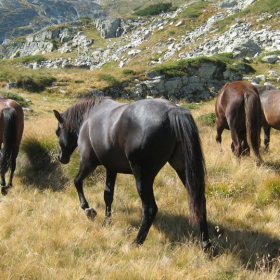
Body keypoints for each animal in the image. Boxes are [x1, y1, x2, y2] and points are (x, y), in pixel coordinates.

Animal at [53, 98, 210, 249]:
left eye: (57, 131)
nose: (61, 157)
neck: (89, 116)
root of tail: (172, 110)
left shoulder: (88, 163)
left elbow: (77, 181)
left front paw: (87, 209)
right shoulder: (111, 168)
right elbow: (108, 195)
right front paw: (107, 221)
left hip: (142, 177)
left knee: (150, 209)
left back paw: (137, 242)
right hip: (183, 170)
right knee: (199, 202)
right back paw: (206, 244)